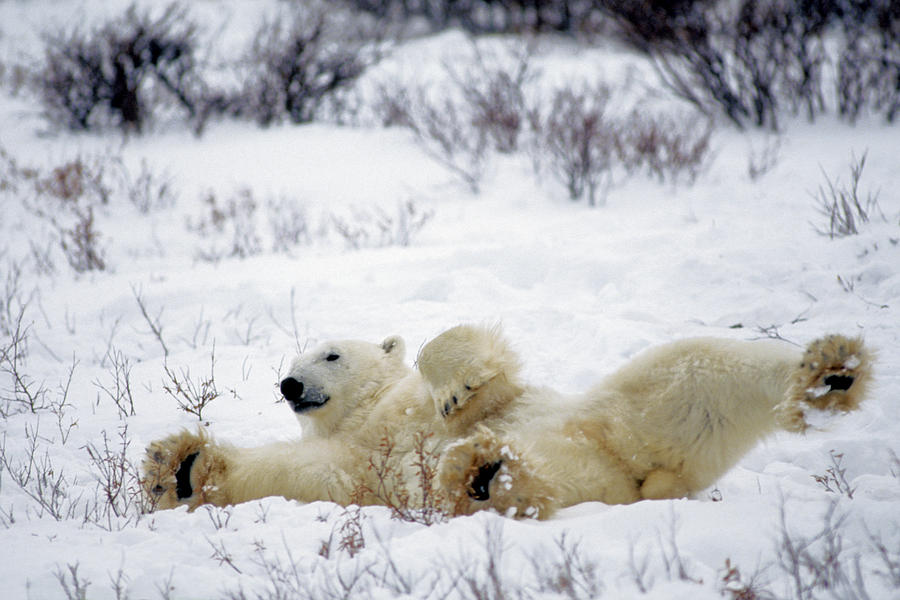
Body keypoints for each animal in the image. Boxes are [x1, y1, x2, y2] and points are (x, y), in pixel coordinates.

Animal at [144, 326, 868, 516]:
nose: (289, 384)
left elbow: (479, 385)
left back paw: (831, 372)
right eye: (291, 361)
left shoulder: (417, 408)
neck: (373, 415)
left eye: (329, 354)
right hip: (595, 466)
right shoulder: (354, 459)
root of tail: (645, 479)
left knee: (700, 367)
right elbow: (294, 472)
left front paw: (457, 389)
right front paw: (178, 467)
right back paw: (487, 475)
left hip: (619, 414)